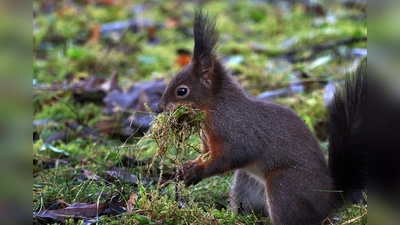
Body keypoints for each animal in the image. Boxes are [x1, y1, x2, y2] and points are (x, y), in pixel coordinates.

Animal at [156, 11, 366, 225]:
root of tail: (328, 202)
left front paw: (197, 172)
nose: (160, 107)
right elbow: (206, 154)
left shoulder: (235, 132)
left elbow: (230, 156)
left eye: (182, 91)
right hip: (245, 183)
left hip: (284, 186)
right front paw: (185, 167)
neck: (215, 107)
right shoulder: (208, 141)